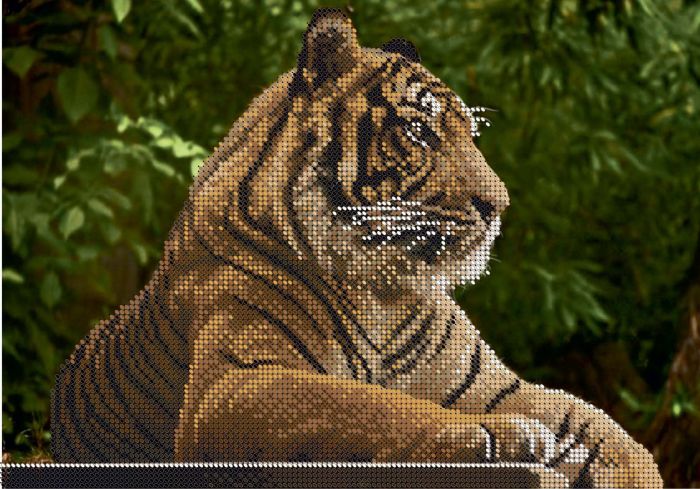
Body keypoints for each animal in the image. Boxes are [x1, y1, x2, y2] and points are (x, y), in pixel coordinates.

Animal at [51, 8, 662, 488]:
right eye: (420, 133)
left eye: (469, 134)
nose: (499, 205)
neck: (382, 288)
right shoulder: (234, 384)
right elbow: (379, 406)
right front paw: (509, 438)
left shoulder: (495, 386)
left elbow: (613, 435)